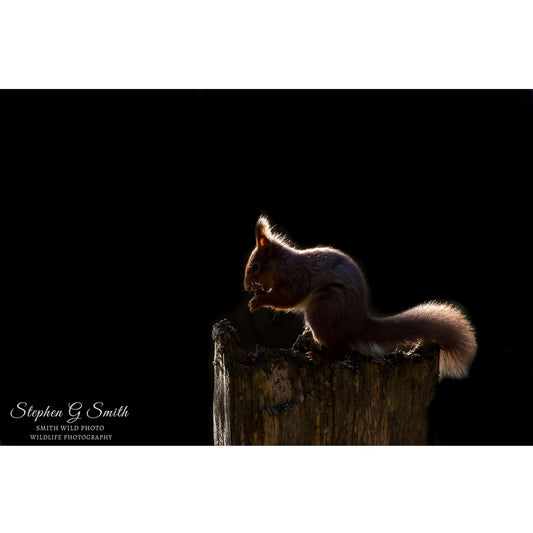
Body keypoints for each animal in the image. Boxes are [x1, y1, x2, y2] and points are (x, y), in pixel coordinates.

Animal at [243, 216, 476, 378]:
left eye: (254, 267)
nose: (246, 287)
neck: (283, 264)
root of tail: (358, 322)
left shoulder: (296, 279)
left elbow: (286, 299)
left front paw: (258, 301)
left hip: (323, 308)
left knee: (342, 348)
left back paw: (321, 358)